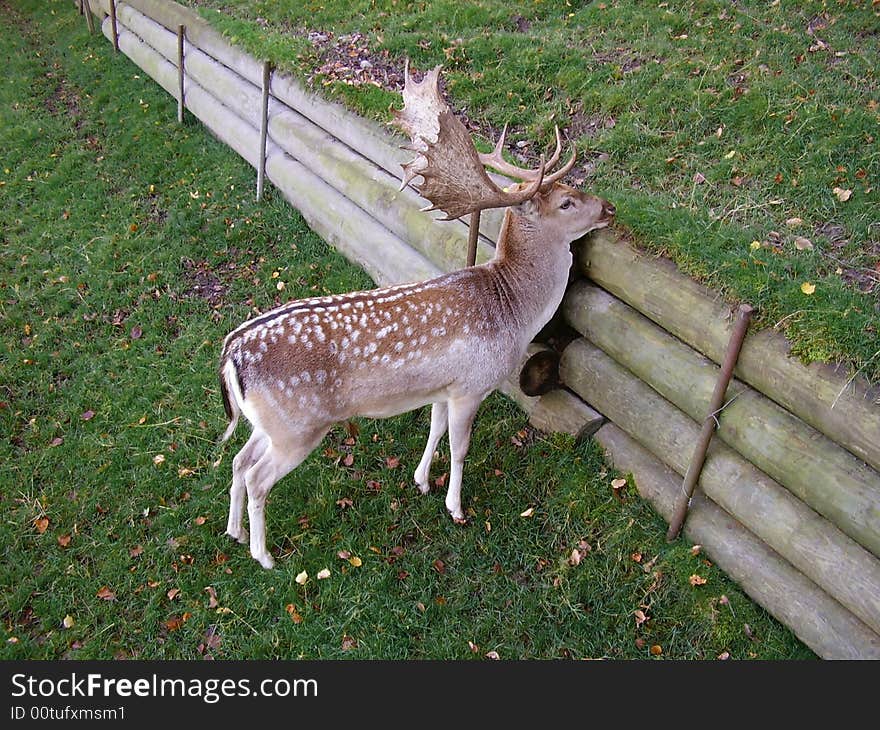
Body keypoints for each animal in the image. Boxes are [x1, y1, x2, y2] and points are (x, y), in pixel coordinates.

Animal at [217, 64, 616, 568]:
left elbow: (434, 431)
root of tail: (231, 353)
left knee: (238, 460)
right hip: (298, 426)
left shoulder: (443, 385)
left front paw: (422, 480)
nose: (609, 207)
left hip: (267, 423)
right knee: (257, 477)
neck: (513, 311)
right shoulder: (470, 385)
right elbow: (460, 447)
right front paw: (456, 507)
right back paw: (264, 556)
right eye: (566, 202)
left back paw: (232, 533)